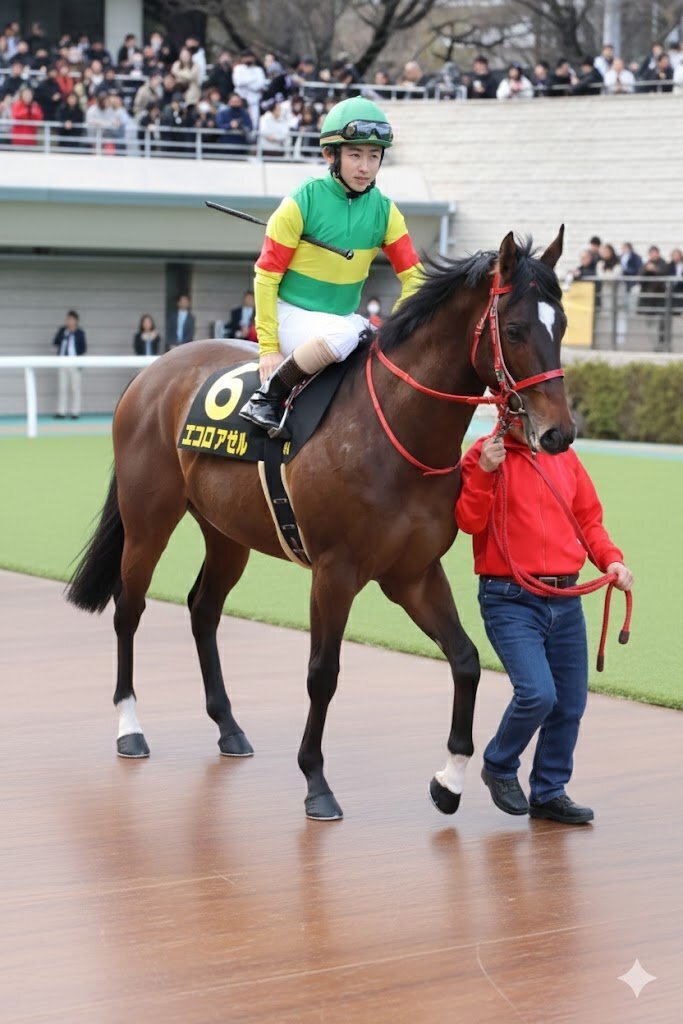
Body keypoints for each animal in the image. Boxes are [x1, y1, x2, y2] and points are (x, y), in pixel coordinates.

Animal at [67, 228, 574, 821]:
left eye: (562, 325)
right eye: (515, 329)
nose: (559, 433)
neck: (394, 429)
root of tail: (153, 371)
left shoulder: (414, 573)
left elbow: (467, 660)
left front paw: (449, 780)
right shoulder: (335, 572)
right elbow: (323, 672)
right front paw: (316, 781)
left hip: (227, 532)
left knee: (203, 609)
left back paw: (228, 726)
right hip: (149, 518)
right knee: (130, 607)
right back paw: (130, 726)